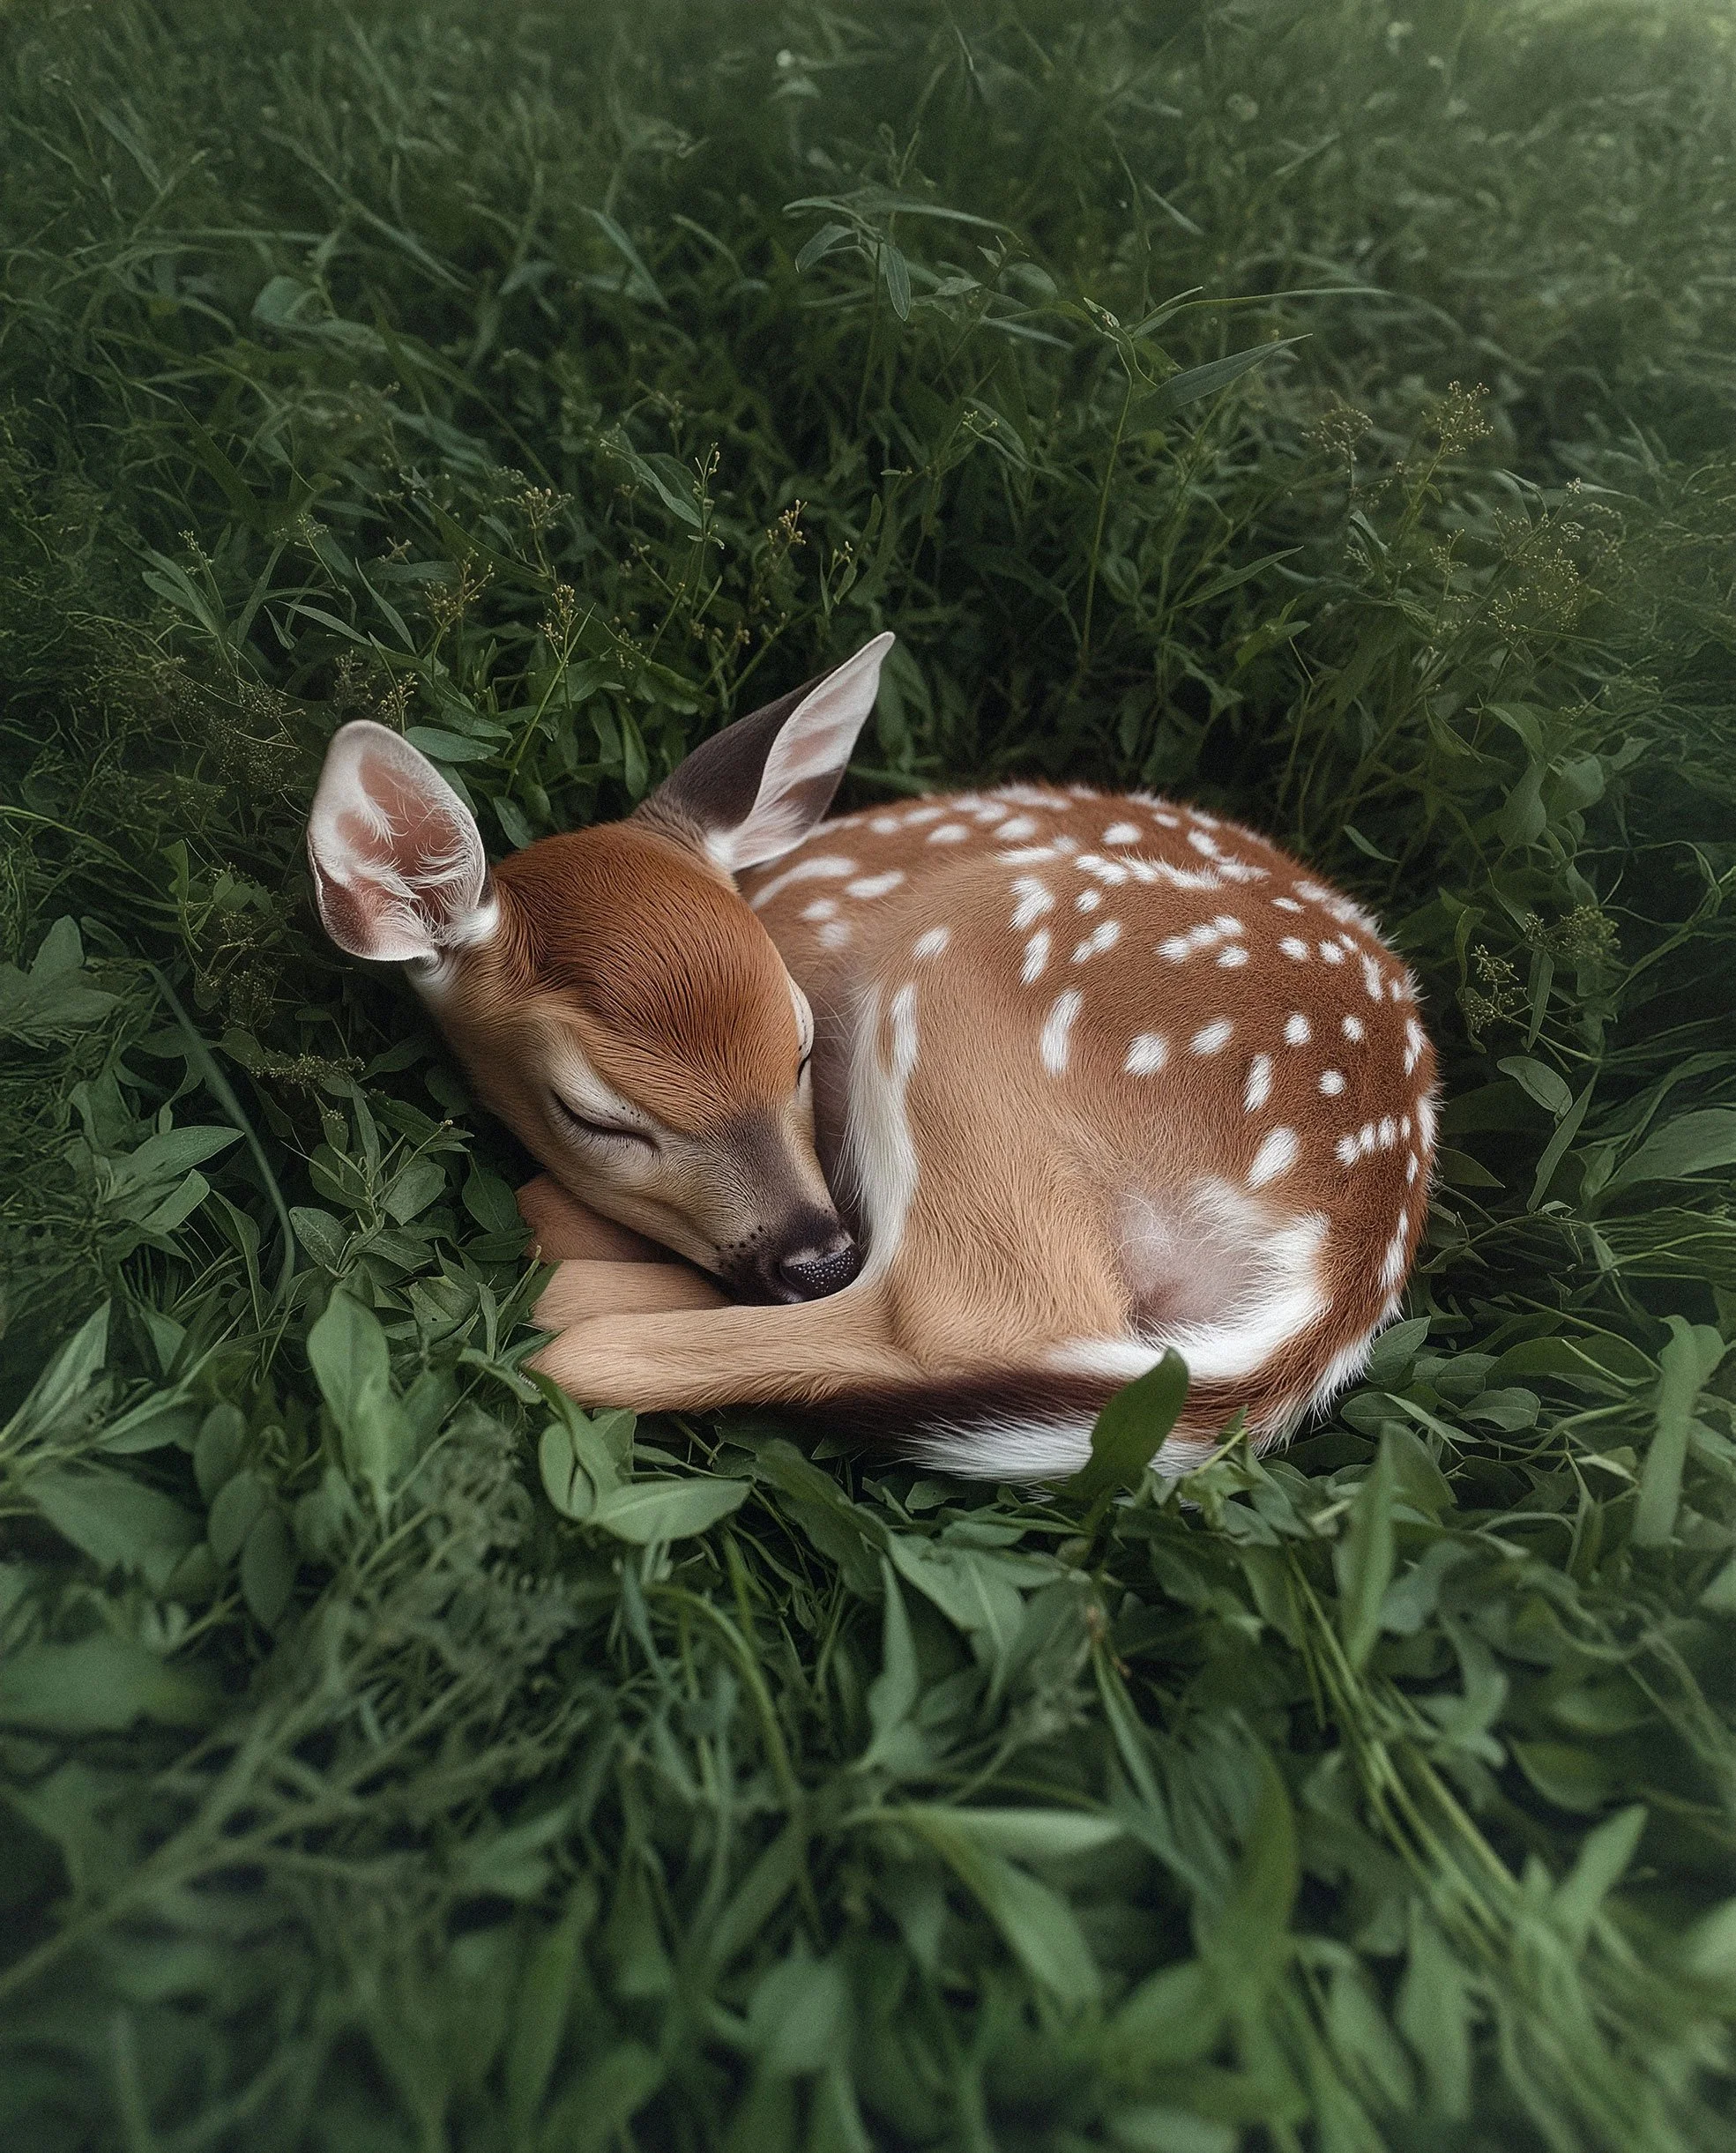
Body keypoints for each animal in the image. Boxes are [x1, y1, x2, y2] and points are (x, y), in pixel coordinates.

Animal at [306, 633, 1437, 1478]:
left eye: (804, 1048)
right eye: (595, 1116)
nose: (816, 1253)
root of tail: (1338, 1262)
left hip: (971, 973)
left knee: (945, 1311)